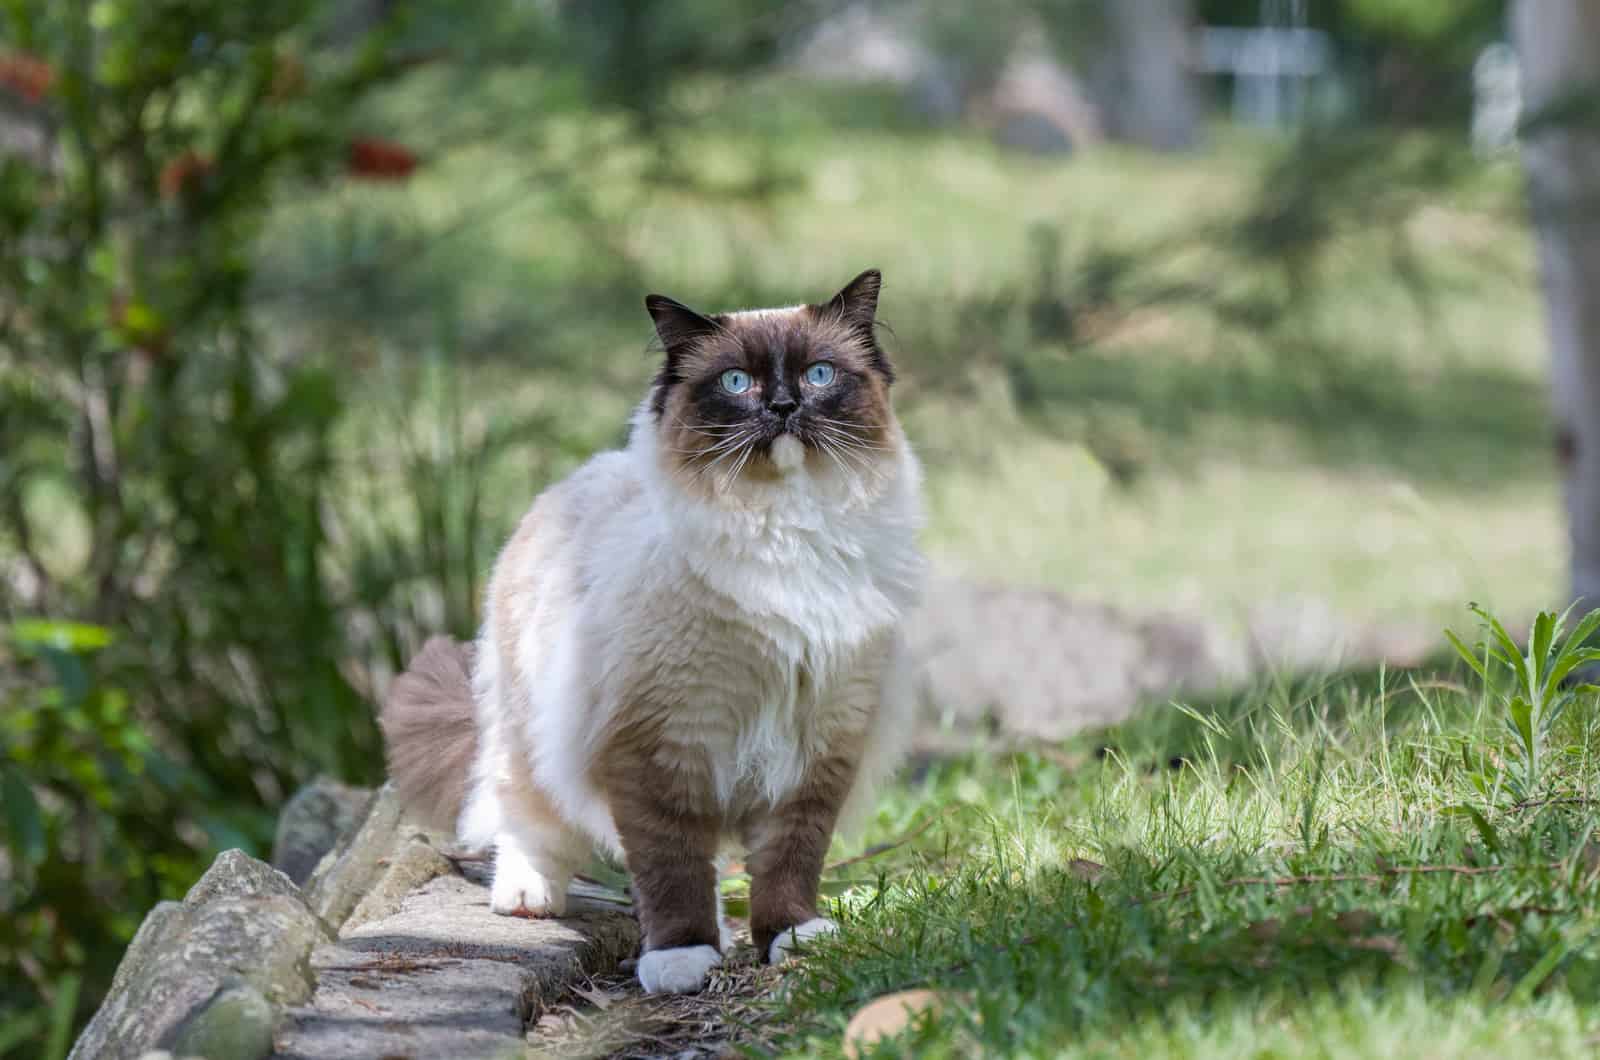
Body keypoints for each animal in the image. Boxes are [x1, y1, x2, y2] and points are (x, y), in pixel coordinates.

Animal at [377, 272, 928, 999]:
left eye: (819, 374)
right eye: (735, 383)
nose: (782, 406)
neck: (783, 533)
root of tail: (570, 483)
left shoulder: (818, 745)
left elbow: (789, 859)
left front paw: (791, 937)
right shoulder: (661, 746)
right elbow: (672, 869)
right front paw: (681, 960)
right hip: (533, 734)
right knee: (519, 812)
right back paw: (527, 897)